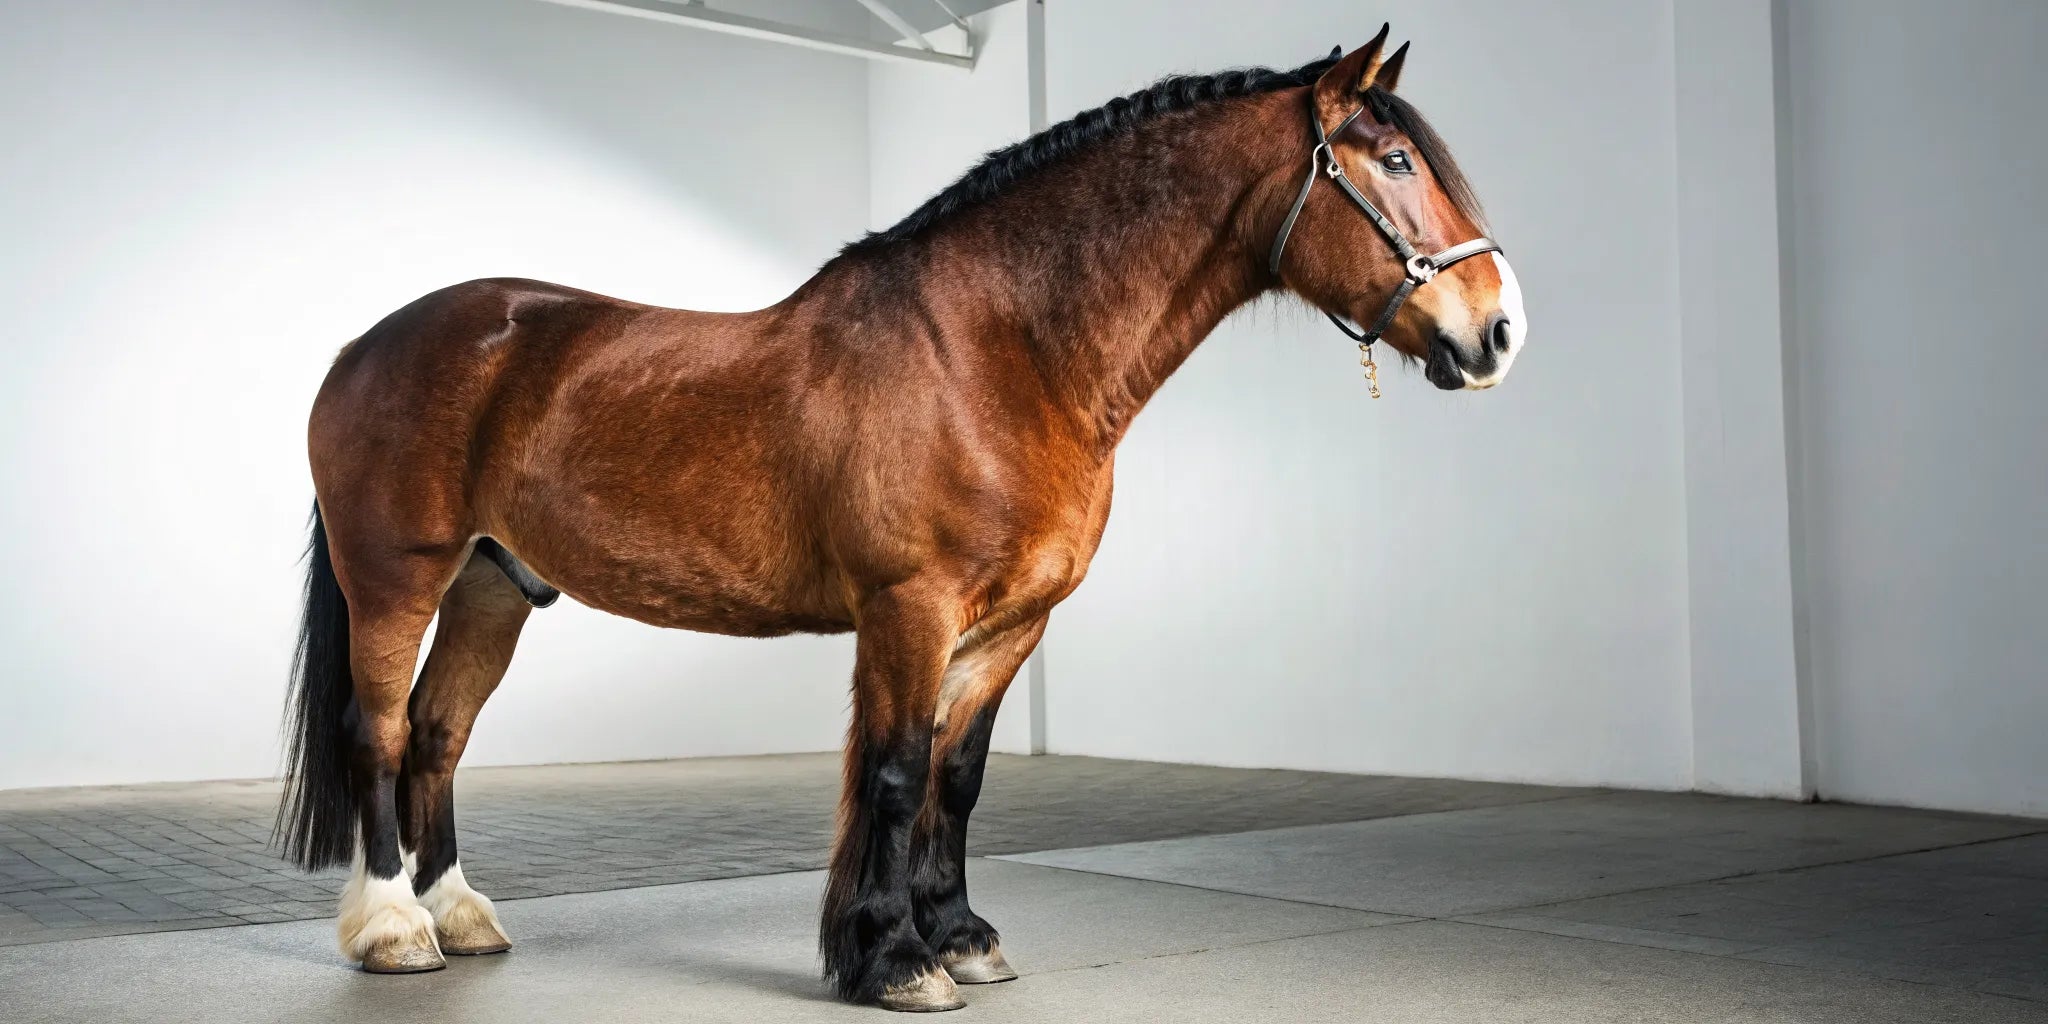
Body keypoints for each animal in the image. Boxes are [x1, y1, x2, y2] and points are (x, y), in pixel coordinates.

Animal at [275, 25, 1526, 1012]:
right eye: (1395, 160)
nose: (1497, 330)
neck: (995, 352)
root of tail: (363, 345)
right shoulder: (908, 608)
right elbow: (890, 770)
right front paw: (890, 959)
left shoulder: (1010, 622)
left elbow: (953, 779)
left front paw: (958, 937)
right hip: (398, 578)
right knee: (379, 733)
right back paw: (393, 930)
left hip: (496, 585)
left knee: (440, 732)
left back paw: (459, 915)